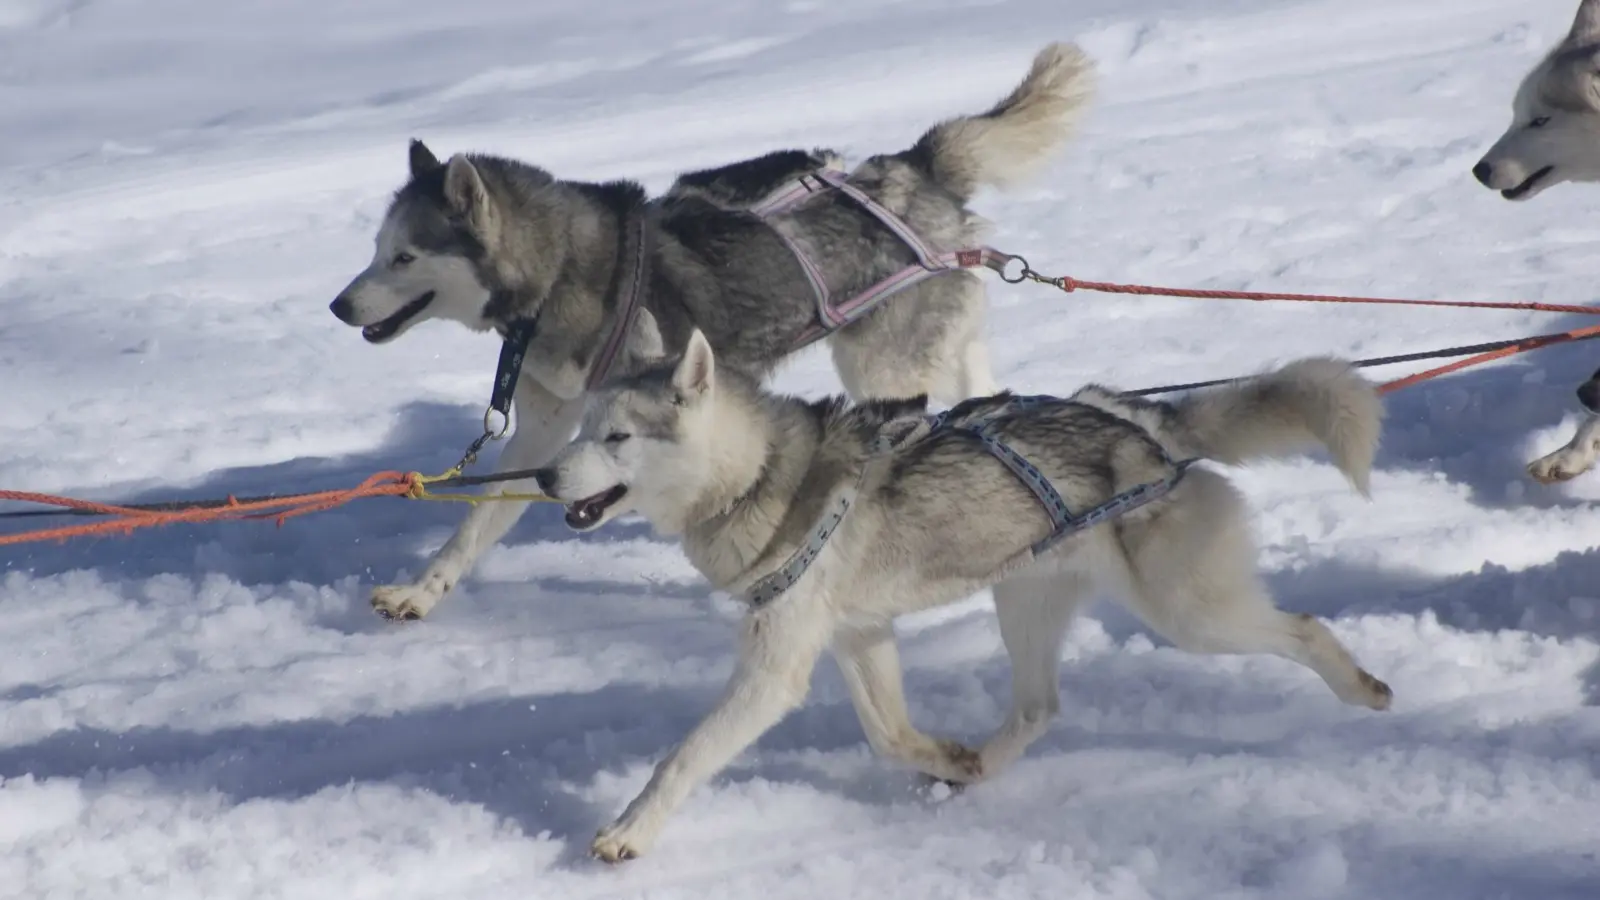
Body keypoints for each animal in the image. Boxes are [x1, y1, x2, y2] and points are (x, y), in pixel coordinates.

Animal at [329, 45, 1094, 621]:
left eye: (404, 257)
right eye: (376, 248)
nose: (338, 306)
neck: (564, 270)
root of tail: (911, 166)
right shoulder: (547, 428)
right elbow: (477, 522)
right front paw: (421, 592)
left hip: (883, 368)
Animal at [531, 328, 1395, 851]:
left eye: (617, 437)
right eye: (581, 430)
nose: (541, 476)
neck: (757, 477)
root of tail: (1138, 424)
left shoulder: (775, 668)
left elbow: (684, 759)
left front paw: (627, 833)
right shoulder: (856, 636)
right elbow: (889, 734)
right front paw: (946, 758)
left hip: (1188, 614)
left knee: (1306, 626)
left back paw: (1363, 688)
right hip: (1027, 604)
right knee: (1039, 707)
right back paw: (979, 765)